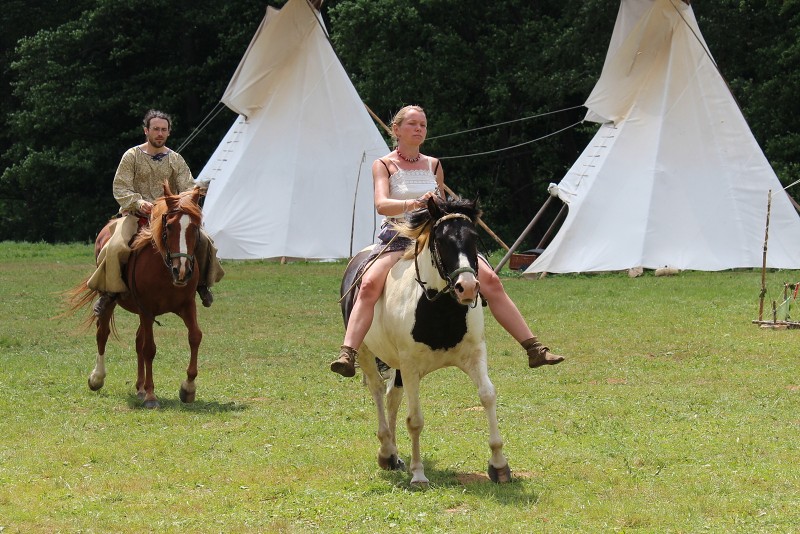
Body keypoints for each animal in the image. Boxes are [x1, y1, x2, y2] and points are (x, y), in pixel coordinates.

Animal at [70, 184, 205, 410]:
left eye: (194, 227)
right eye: (169, 226)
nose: (182, 271)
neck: (164, 269)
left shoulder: (186, 305)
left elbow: (195, 336)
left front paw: (188, 388)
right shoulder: (147, 309)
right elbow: (149, 349)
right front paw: (151, 395)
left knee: (137, 341)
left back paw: (139, 388)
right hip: (112, 301)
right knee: (103, 334)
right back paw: (98, 378)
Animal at [340, 199, 512, 488]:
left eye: (474, 237)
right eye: (441, 240)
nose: (467, 287)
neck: (438, 309)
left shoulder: (475, 354)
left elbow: (487, 396)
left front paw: (499, 465)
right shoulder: (410, 366)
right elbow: (415, 420)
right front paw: (418, 474)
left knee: (392, 397)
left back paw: (394, 456)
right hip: (366, 353)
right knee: (377, 391)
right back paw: (386, 450)